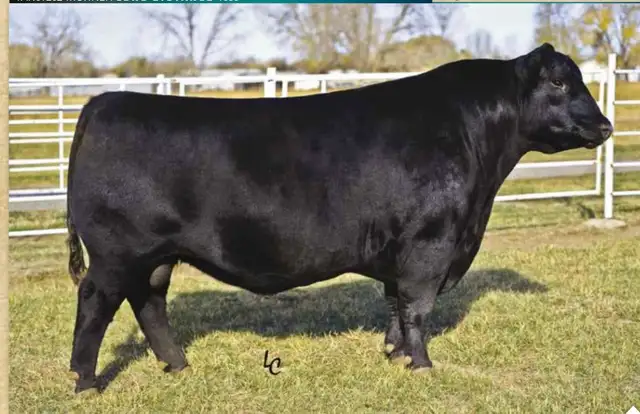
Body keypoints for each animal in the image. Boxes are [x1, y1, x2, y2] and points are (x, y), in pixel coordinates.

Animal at [65, 43, 612, 395]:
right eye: (560, 82)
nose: (605, 125)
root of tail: (103, 102)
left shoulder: (404, 252)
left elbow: (396, 305)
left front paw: (394, 354)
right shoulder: (431, 243)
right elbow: (418, 307)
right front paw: (422, 365)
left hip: (156, 255)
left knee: (149, 303)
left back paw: (178, 366)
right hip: (116, 253)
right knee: (96, 304)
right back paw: (86, 382)